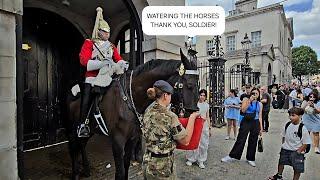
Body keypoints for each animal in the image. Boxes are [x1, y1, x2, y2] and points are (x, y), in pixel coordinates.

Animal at [66, 48, 199, 179]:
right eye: (189, 85)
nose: (192, 112)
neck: (129, 98)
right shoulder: (117, 142)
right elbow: (120, 172)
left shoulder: (132, 139)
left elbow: (126, 167)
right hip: (73, 130)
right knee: (73, 148)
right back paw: (75, 173)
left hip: (91, 131)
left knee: (82, 145)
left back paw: (86, 169)